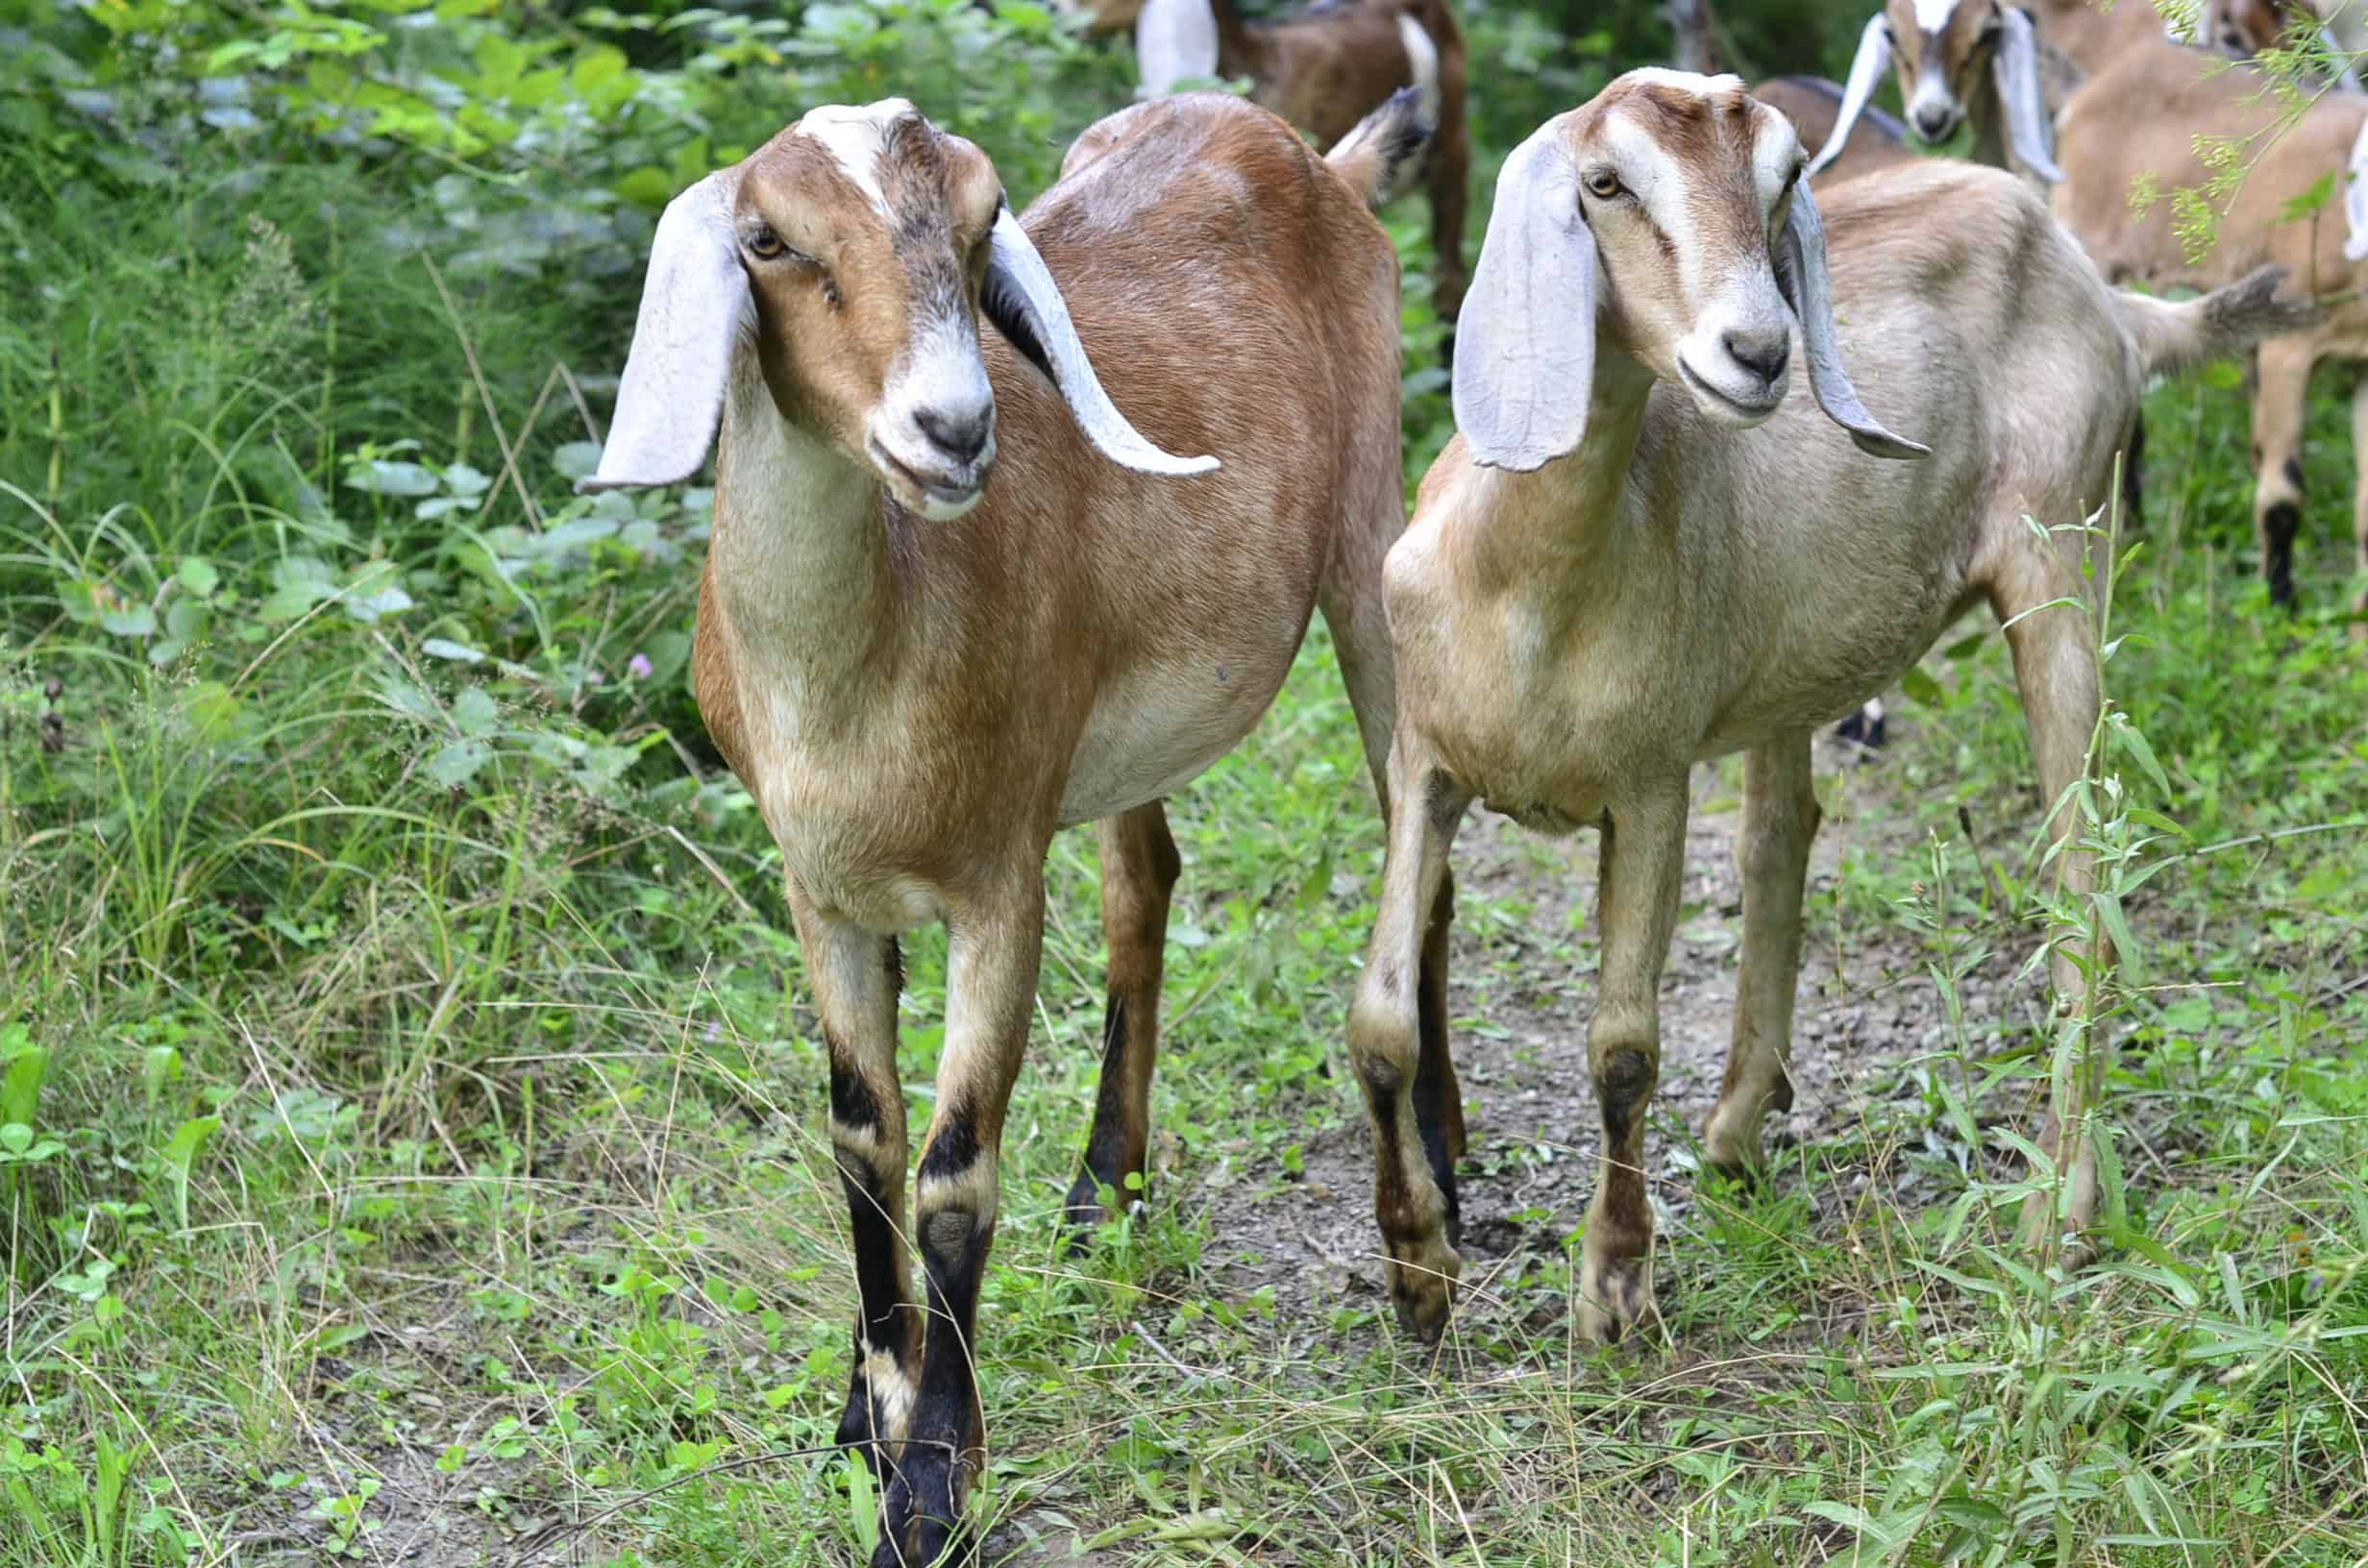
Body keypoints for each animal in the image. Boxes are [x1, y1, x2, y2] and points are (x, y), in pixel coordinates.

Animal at [587, 88, 1440, 1568]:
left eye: (985, 223)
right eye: (768, 238)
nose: (952, 428)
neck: (853, 680)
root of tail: (1313, 155)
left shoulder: (996, 884)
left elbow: (950, 1176)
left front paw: (928, 1490)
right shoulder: (822, 891)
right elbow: (861, 1142)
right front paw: (858, 1418)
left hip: (1368, 546)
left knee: (1417, 828)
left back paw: (1437, 1193)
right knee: (1146, 882)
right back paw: (1108, 1192)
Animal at [1354, 70, 2310, 1355]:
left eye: (1782, 180)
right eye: (1604, 183)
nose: (1760, 354)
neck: (1524, 587)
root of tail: (2101, 291)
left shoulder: (1649, 785)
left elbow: (1620, 1049)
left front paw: (1613, 1289)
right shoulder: (1422, 765)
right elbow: (1380, 1023)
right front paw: (1417, 1272)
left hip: (2063, 559)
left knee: (2082, 892)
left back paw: (2057, 1216)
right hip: (1793, 664)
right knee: (1781, 839)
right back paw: (1737, 1130)